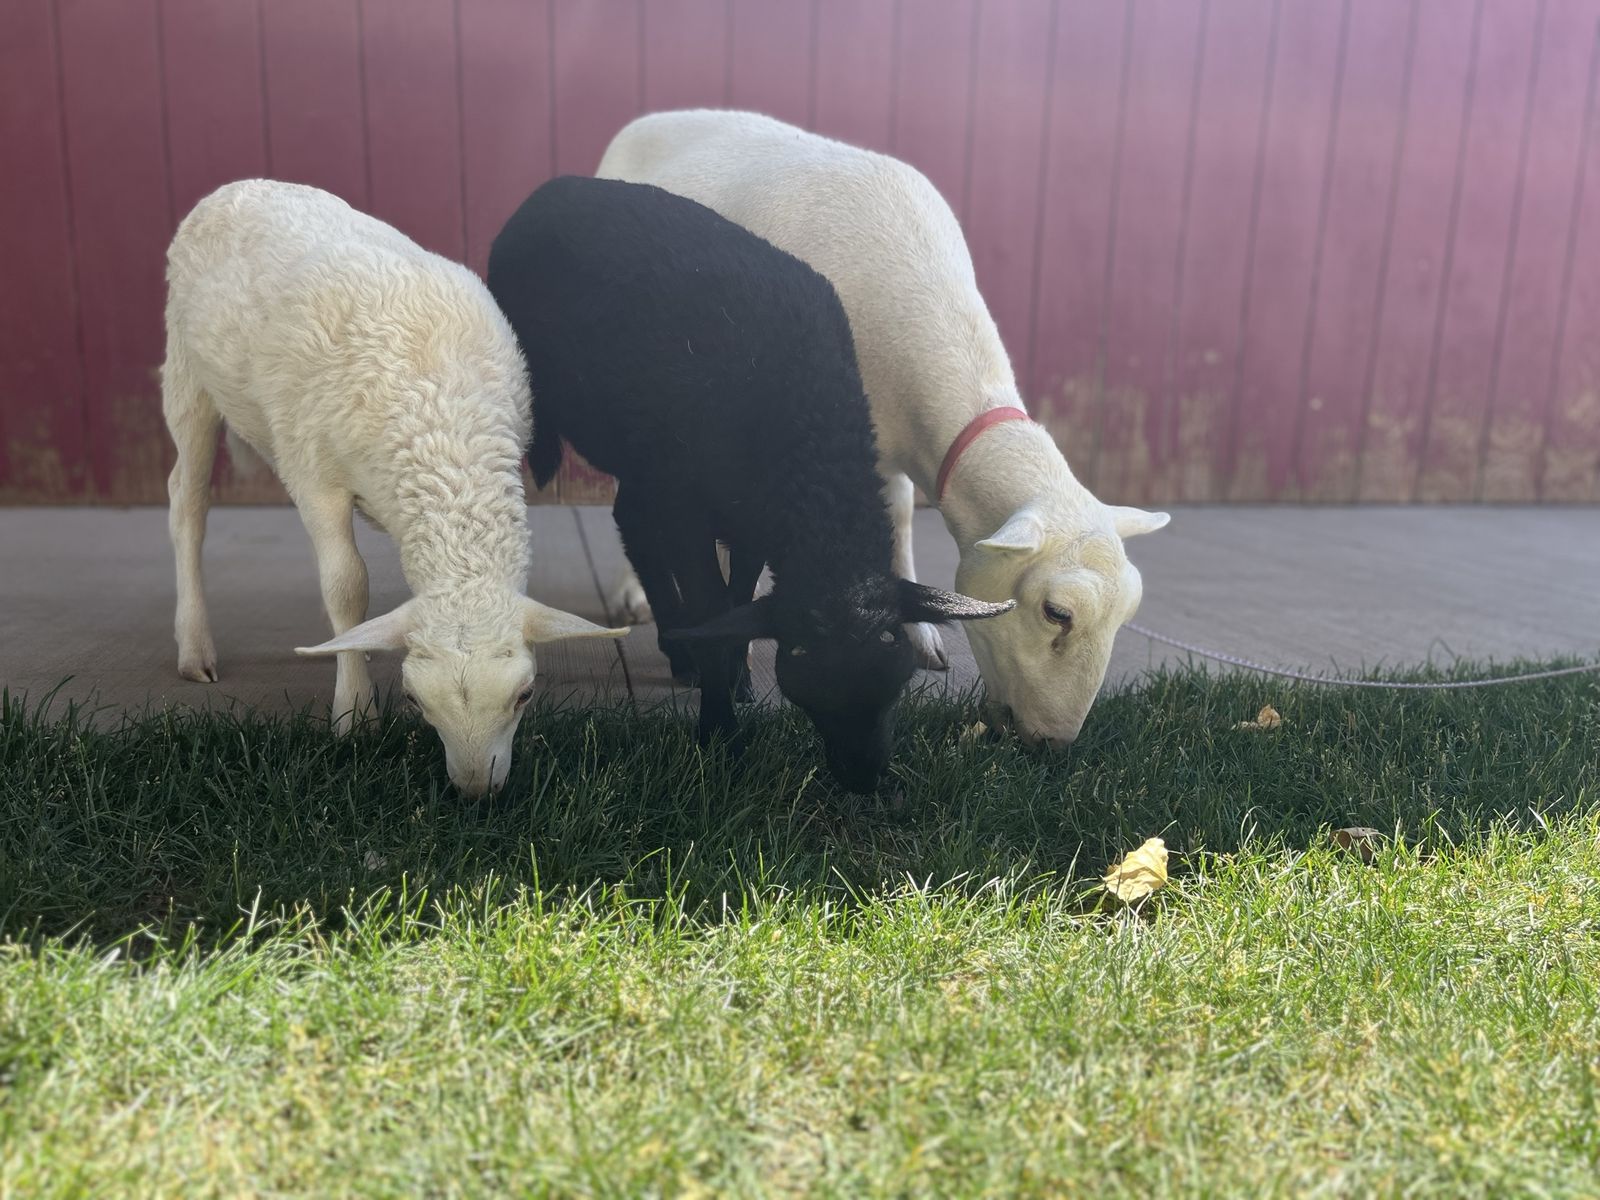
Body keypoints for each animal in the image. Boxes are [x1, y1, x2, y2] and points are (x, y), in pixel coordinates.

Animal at [161, 179, 627, 797]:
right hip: (186, 370)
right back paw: (195, 648)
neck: (441, 427)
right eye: (413, 701)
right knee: (187, 502)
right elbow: (345, 586)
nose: (475, 791)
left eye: (525, 694)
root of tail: (240, 186)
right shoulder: (314, 475)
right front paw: (354, 712)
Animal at [486, 176, 1011, 792]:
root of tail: (550, 187)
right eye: (799, 656)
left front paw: (735, 680)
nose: (863, 776)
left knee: (631, 519)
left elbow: (737, 602)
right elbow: (713, 602)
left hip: (648, 459)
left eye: (893, 652)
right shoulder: (690, 508)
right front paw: (721, 735)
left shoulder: (754, 517)